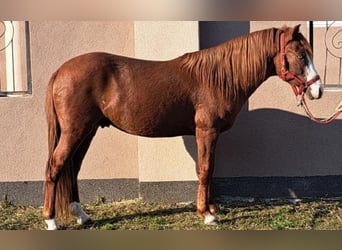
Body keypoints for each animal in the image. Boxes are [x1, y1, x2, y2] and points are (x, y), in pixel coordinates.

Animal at [42, 24, 324, 229]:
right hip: (75, 131)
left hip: (87, 131)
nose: (318, 90)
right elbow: (205, 169)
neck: (219, 78)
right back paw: (51, 220)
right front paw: (207, 215)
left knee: (73, 168)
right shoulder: (206, 132)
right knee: (56, 166)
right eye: (301, 55)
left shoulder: (211, 134)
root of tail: (60, 71)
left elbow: (210, 169)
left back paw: (82, 215)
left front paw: (212, 209)